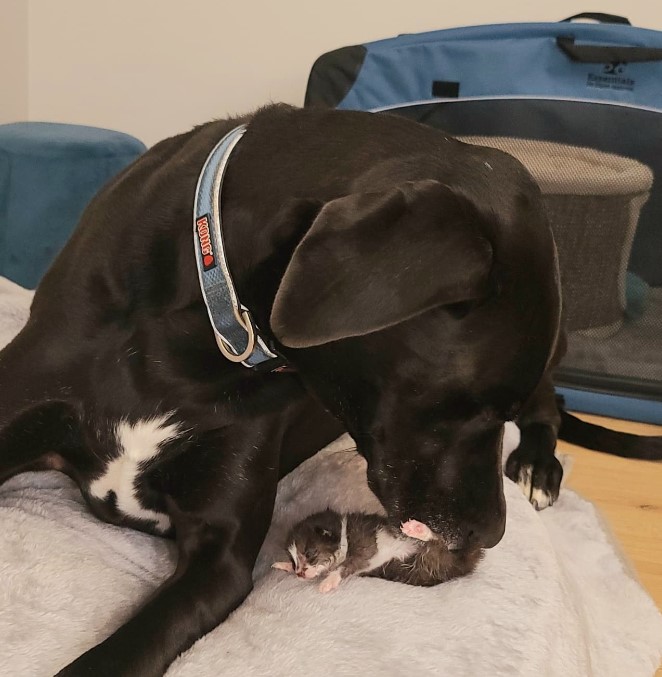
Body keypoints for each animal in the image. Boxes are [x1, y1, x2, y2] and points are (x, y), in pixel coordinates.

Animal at [272, 508, 486, 592]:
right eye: (294, 560)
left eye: (310, 554)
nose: (299, 574)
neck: (345, 534)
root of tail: (466, 563)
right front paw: (283, 565)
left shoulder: (366, 550)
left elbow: (346, 565)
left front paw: (329, 581)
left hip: (434, 559)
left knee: (439, 542)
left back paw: (417, 529)